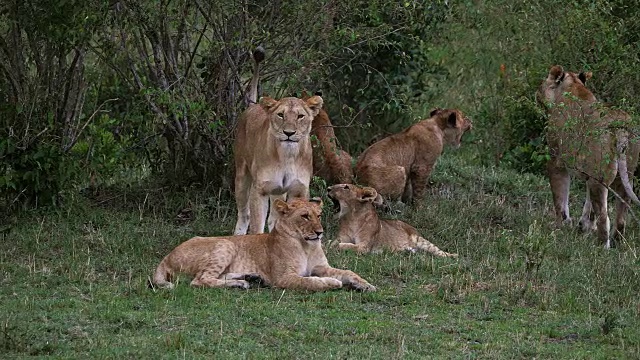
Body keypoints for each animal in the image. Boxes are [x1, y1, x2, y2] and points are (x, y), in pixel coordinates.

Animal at [154, 197, 376, 292]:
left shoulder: (322, 267)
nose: (320, 232)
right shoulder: (283, 278)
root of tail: (166, 256)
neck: (306, 245)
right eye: (305, 216)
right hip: (225, 243)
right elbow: (311, 282)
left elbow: (348, 272)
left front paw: (366, 284)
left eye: (319, 215)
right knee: (199, 280)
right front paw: (332, 283)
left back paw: (248, 278)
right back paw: (241, 283)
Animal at [328, 184, 458, 258]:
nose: (328, 188)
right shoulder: (342, 237)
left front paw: (333, 246)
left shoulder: (364, 246)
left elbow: (346, 246)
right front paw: (329, 244)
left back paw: (453, 256)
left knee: (439, 251)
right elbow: (336, 242)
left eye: (346, 187)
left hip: (421, 240)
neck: (352, 218)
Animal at [536, 64, 636, 248]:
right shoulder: (592, 172)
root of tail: (619, 126)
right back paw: (617, 242)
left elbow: (559, 197)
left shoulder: (556, 160)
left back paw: (602, 246)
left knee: (604, 215)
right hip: (625, 174)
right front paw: (584, 226)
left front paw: (561, 226)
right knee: (621, 213)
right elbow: (589, 205)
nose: (536, 95)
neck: (573, 86)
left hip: (600, 179)